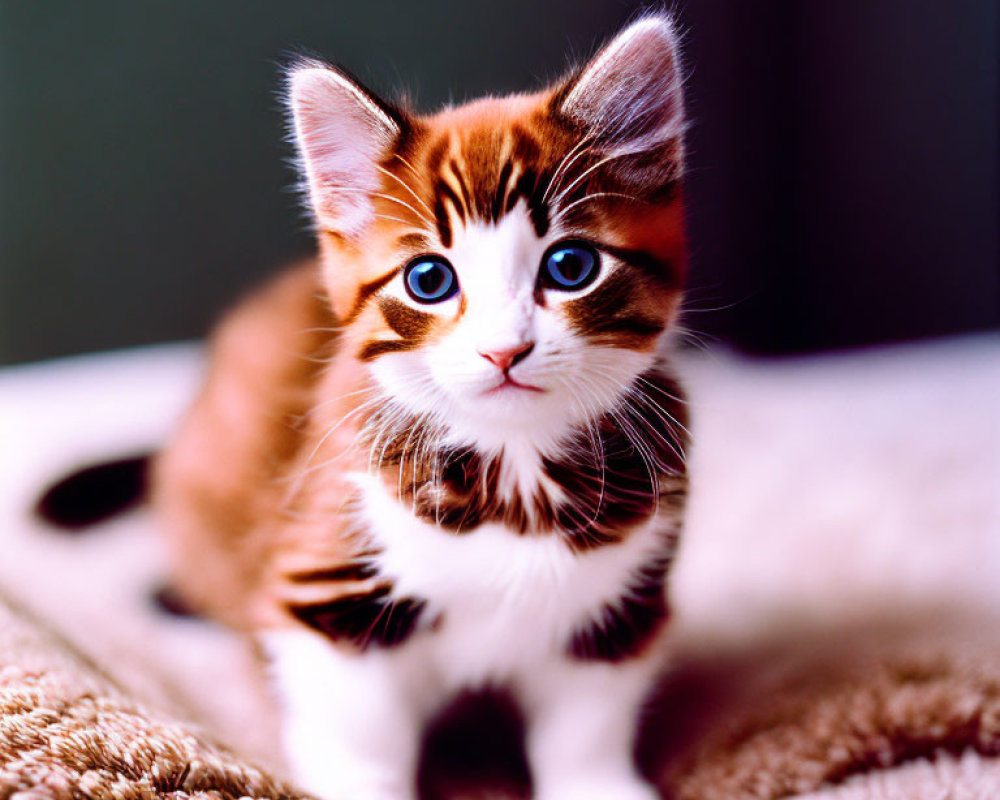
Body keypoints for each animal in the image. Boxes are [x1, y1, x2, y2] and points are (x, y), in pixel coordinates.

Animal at [156, 14, 688, 800]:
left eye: (571, 267)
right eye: (429, 279)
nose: (505, 351)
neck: (515, 478)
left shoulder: (620, 604)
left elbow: (586, 720)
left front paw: (597, 782)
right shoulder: (325, 579)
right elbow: (357, 730)